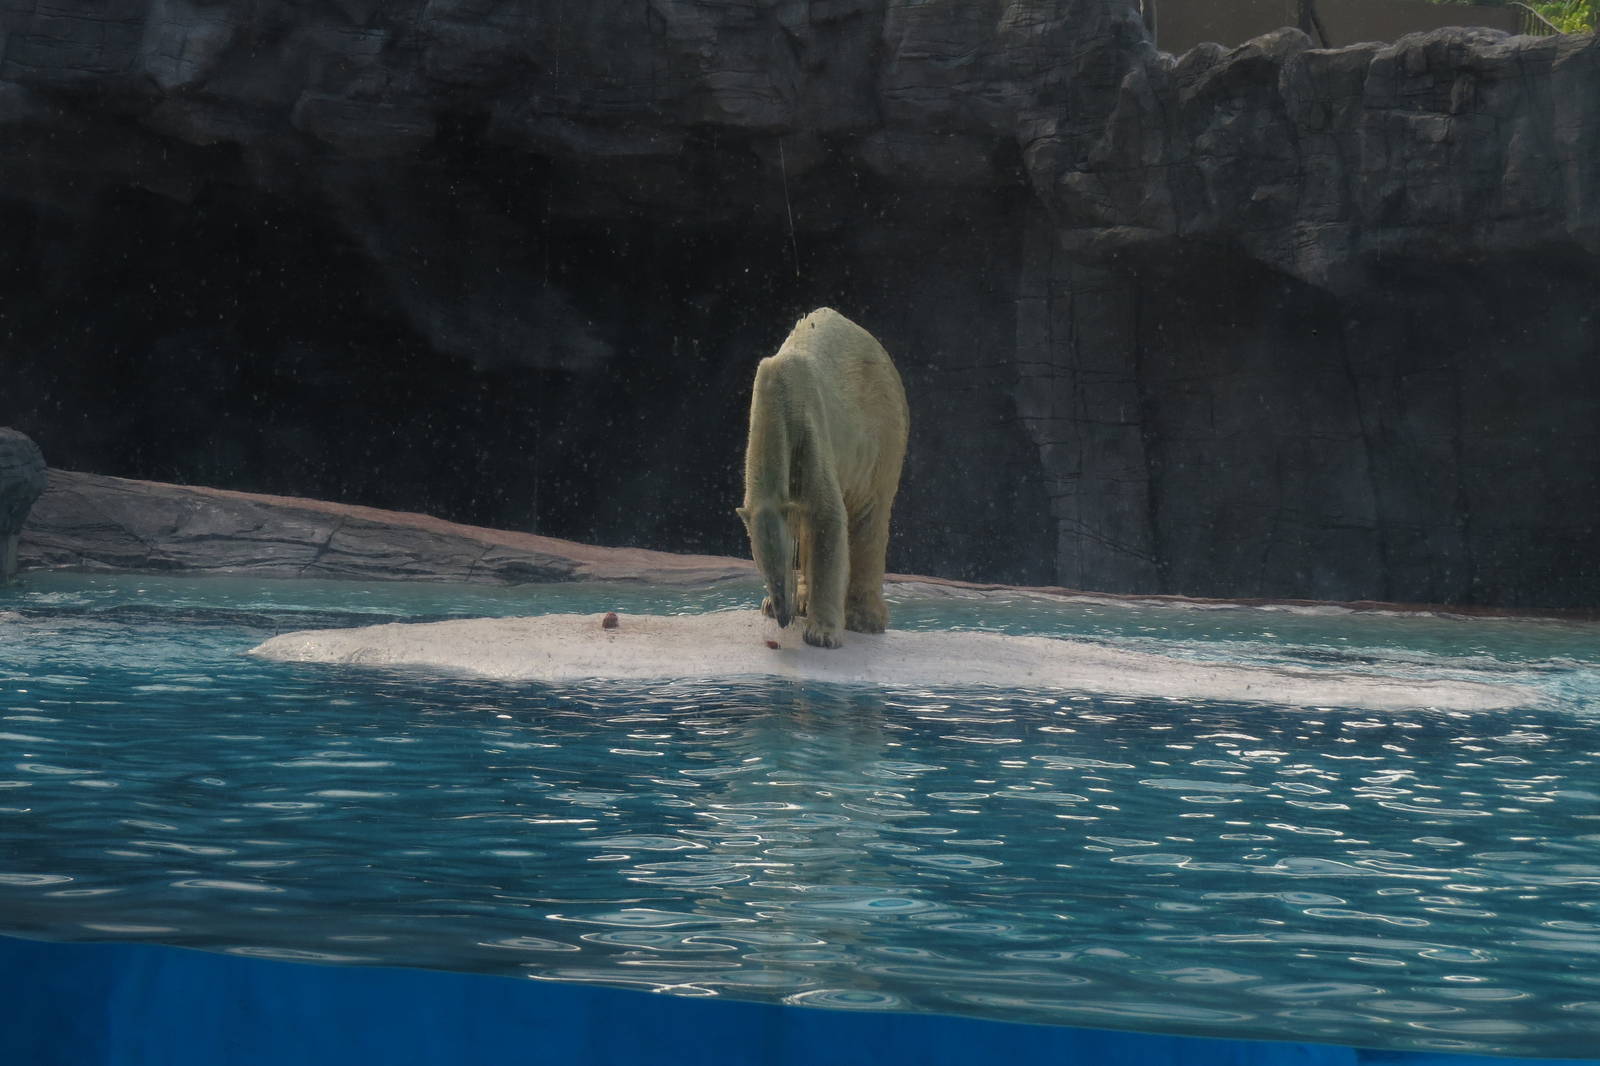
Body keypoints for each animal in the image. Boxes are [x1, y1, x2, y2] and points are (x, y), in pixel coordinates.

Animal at [736, 308, 910, 649]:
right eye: (762, 566)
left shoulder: (809, 429)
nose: (784, 616)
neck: (777, 391)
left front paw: (822, 633)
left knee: (870, 517)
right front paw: (770, 602)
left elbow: (827, 518)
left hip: (882, 436)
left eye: (784, 558)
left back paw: (865, 619)